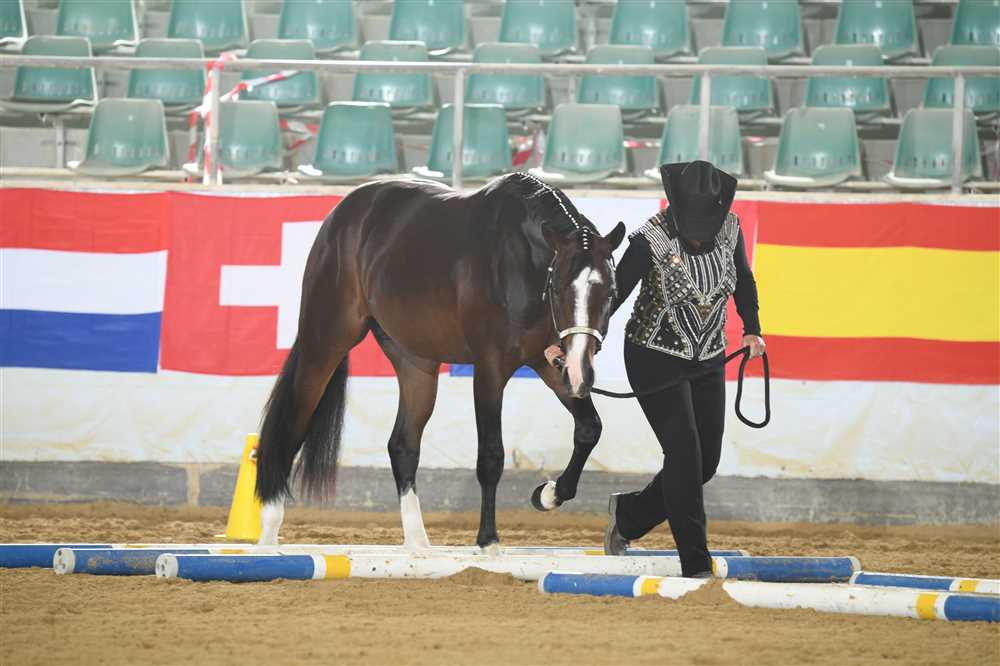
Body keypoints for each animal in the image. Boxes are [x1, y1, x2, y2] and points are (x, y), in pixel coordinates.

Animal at [254, 172, 626, 551]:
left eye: (610, 292)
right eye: (560, 289)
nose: (581, 374)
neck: (518, 260)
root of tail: (342, 214)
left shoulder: (549, 363)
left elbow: (589, 429)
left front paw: (548, 494)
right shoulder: (490, 369)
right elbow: (491, 455)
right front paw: (489, 541)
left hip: (415, 362)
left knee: (403, 445)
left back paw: (418, 542)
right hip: (325, 342)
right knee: (291, 428)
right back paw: (269, 533)